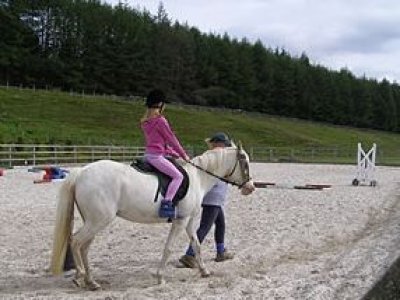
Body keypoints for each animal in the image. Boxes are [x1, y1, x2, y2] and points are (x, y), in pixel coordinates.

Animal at [51, 144, 255, 290]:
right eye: (245, 163)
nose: (250, 187)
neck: (198, 177)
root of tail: (82, 172)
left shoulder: (189, 221)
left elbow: (196, 244)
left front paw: (204, 271)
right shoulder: (180, 221)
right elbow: (169, 247)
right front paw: (160, 277)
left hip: (94, 222)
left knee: (84, 248)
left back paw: (91, 281)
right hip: (98, 221)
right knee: (76, 242)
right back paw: (79, 276)